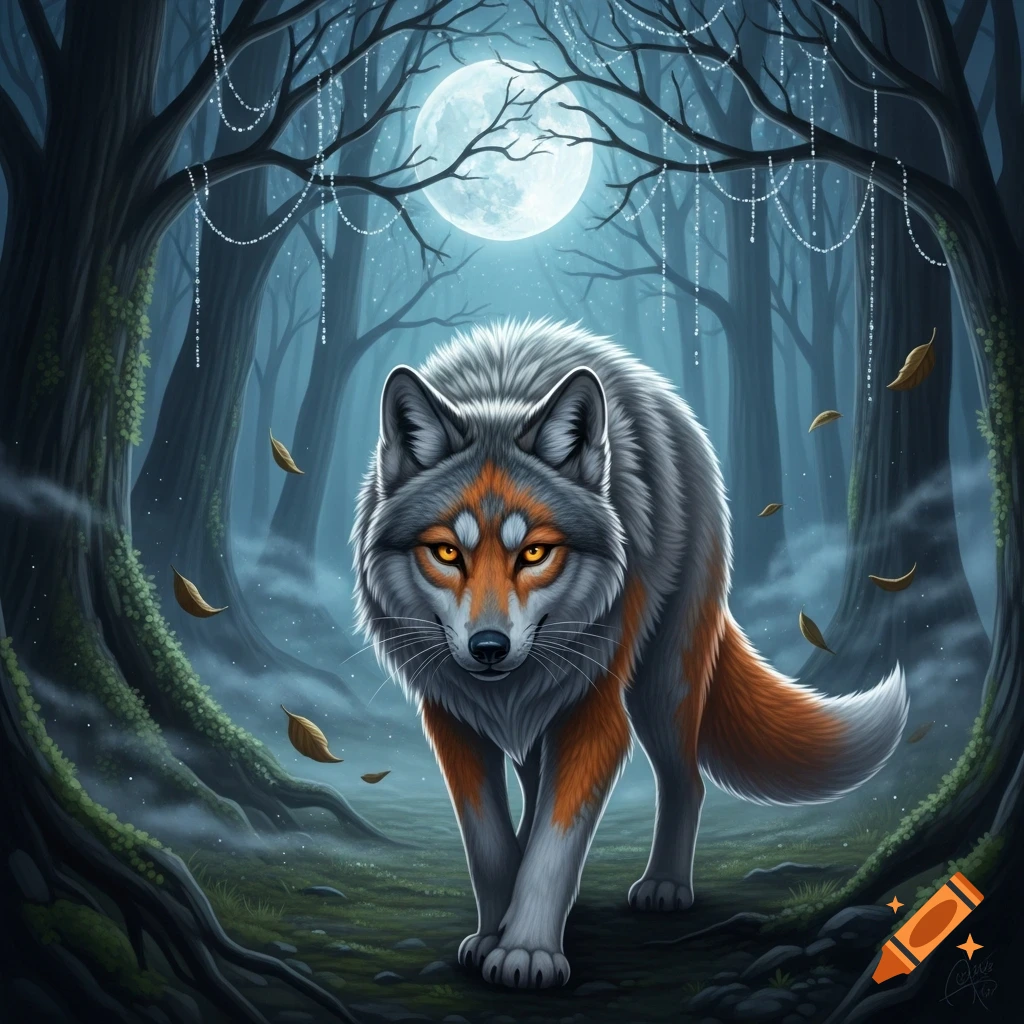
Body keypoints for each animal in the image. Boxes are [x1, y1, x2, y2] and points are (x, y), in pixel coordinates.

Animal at [351, 319, 908, 990]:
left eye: (533, 553)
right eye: (447, 553)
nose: (489, 648)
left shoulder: (597, 715)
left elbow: (554, 850)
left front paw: (527, 949)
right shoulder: (454, 721)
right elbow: (490, 848)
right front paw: (494, 933)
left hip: (660, 691)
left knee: (686, 782)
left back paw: (665, 884)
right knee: (538, 789)